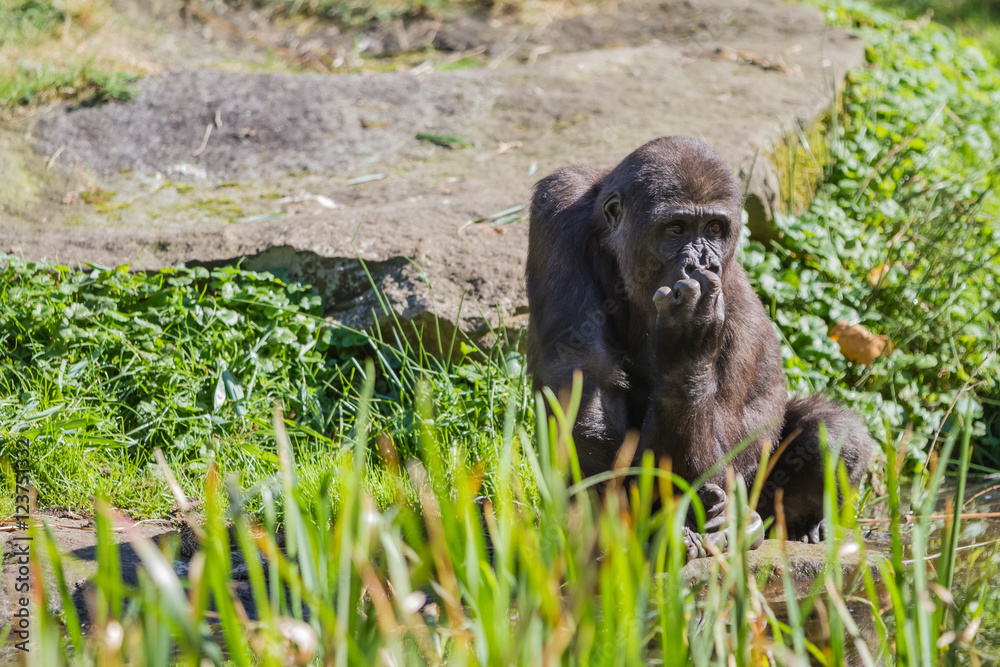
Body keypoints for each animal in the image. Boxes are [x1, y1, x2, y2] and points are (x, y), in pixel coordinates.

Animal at [525, 136, 873, 553]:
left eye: (714, 227)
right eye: (675, 228)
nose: (702, 262)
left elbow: (722, 436)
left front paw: (685, 358)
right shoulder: (558, 207)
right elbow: (584, 371)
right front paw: (614, 518)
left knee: (831, 434)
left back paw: (797, 523)